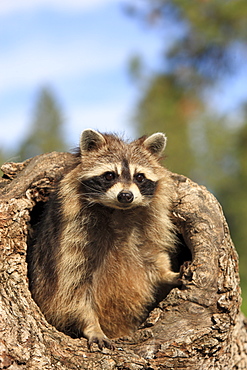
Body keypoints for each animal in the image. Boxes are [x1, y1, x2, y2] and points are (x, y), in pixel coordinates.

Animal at [28, 129, 180, 350]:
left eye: (139, 177)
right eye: (109, 175)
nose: (126, 195)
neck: (118, 212)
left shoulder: (148, 227)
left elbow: (151, 256)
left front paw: (167, 273)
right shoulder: (72, 236)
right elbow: (71, 288)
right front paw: (91, 325)